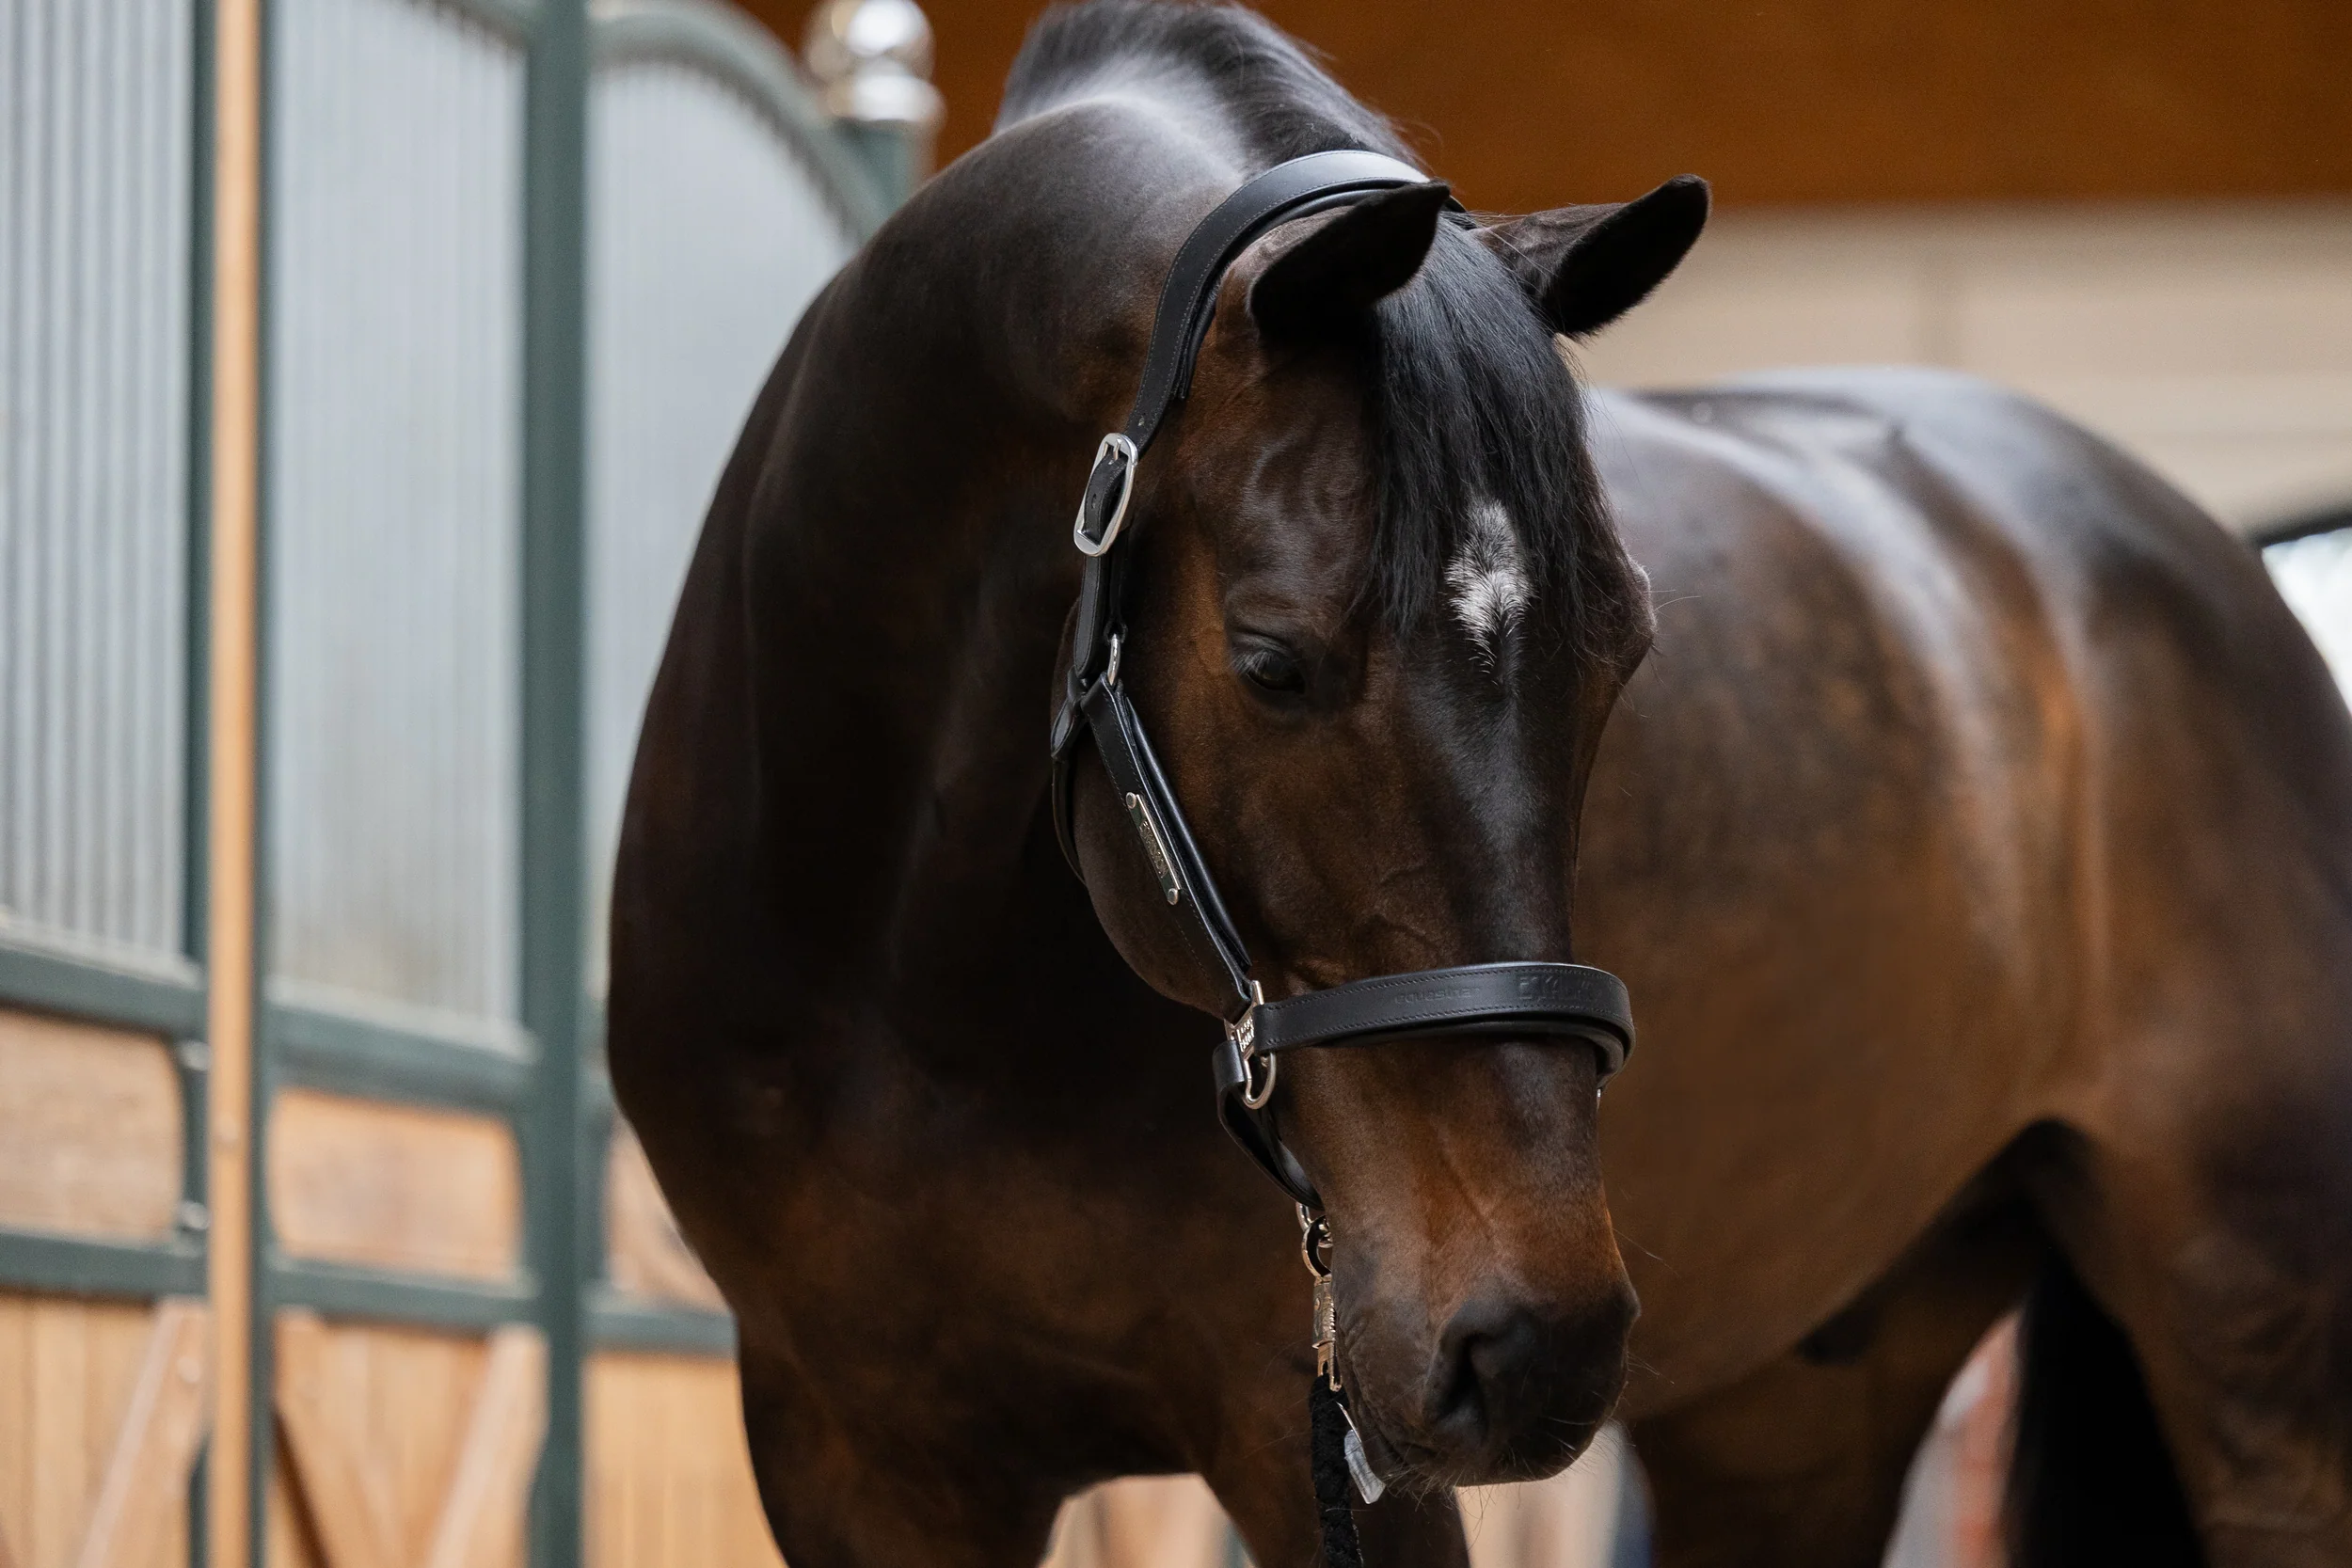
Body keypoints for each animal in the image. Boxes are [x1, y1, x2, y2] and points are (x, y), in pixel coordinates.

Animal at [607, 4, 2352, 1565]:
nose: (1533, 1342)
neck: (900, 970)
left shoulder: (1317, 1438)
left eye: (1624, 648)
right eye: (1272, 659)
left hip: (2259, 1363)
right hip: (1799, 1404)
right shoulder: (856, 1449)